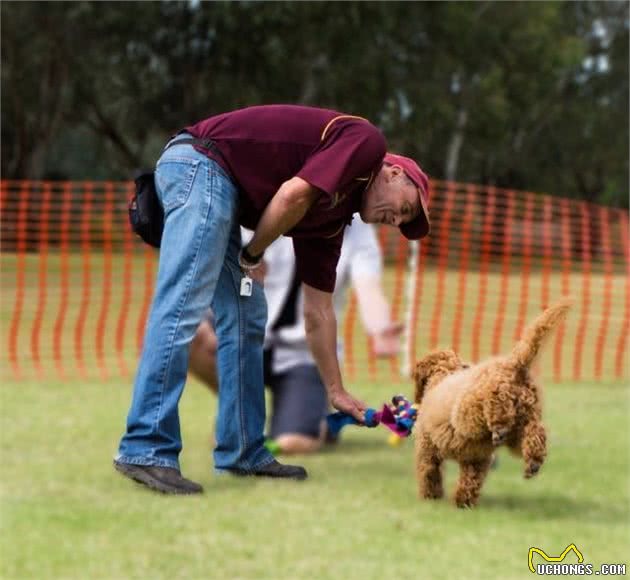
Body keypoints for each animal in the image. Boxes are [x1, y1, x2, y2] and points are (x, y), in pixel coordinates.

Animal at [414, 300, 572, 508]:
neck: (443, 373)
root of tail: (515, 365)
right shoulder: (475, 458)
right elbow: (470, 480)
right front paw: (463, 502)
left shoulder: (427, 448)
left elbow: (428, 472)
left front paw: (432, 495)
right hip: (526, 416)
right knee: (535, 432)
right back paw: (533, 462)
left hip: (474, 407)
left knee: (492, 408)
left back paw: (499, 427)